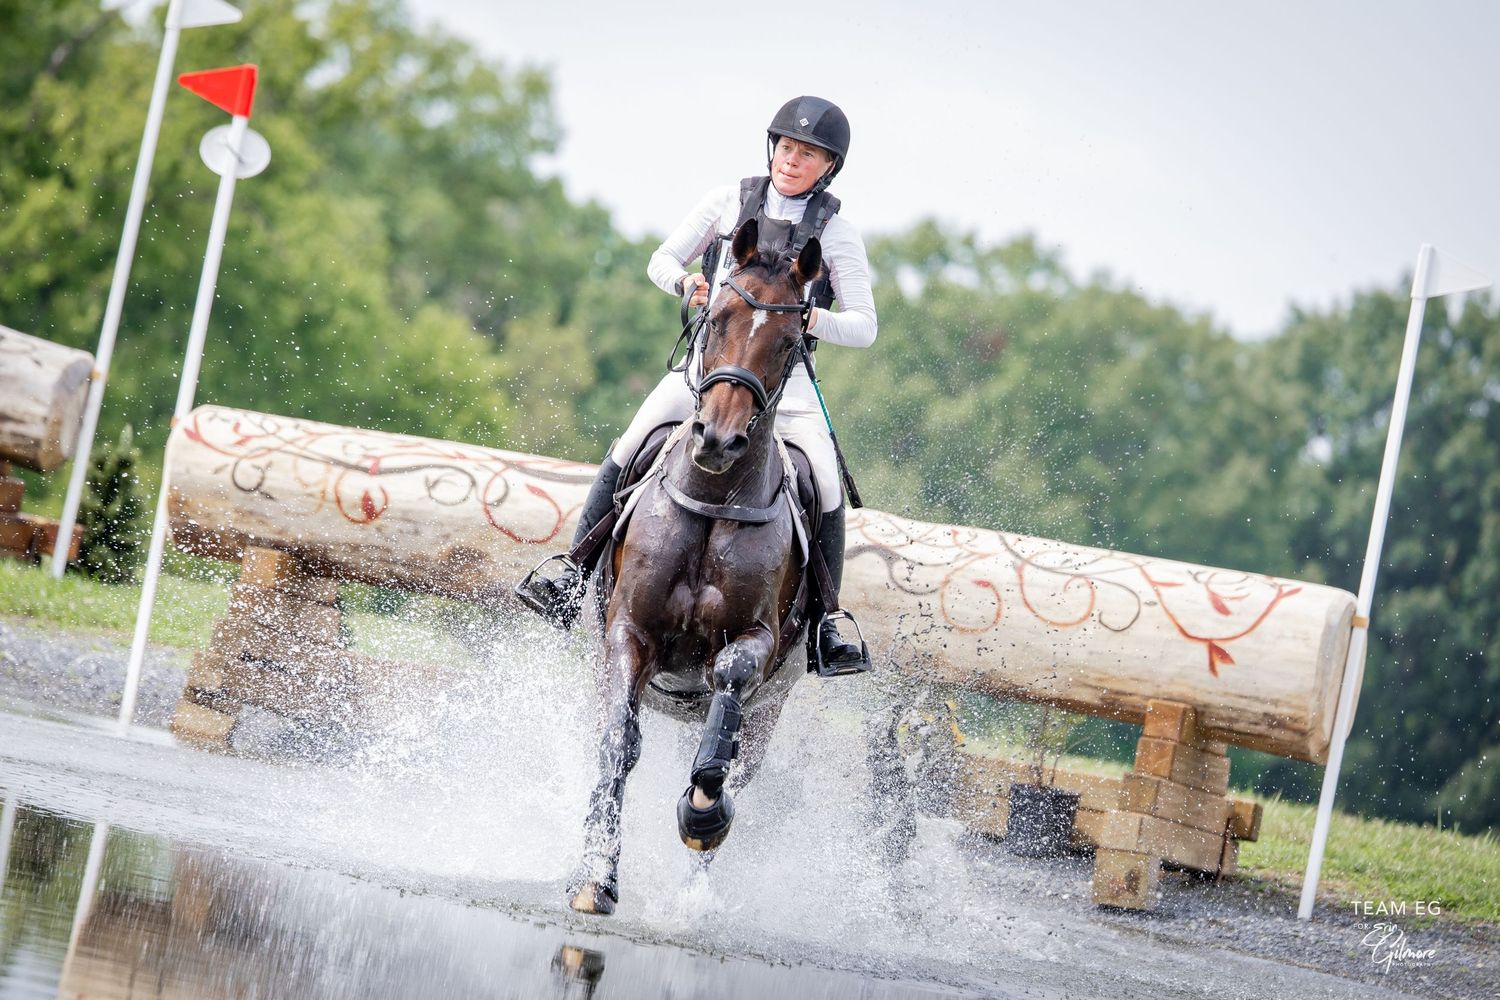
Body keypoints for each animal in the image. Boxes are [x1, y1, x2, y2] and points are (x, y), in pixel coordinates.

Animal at [567, 219, 825, 915]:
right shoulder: (627, 632)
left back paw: (694, 893)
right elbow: (617, 743)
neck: (713, 496)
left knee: (735, 756)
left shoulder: (756, 642)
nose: (718, 440)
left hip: (770, 712)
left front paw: (704, 816)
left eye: (790, 342)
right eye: (718, 317)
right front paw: (594, 876)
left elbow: (721, 735)